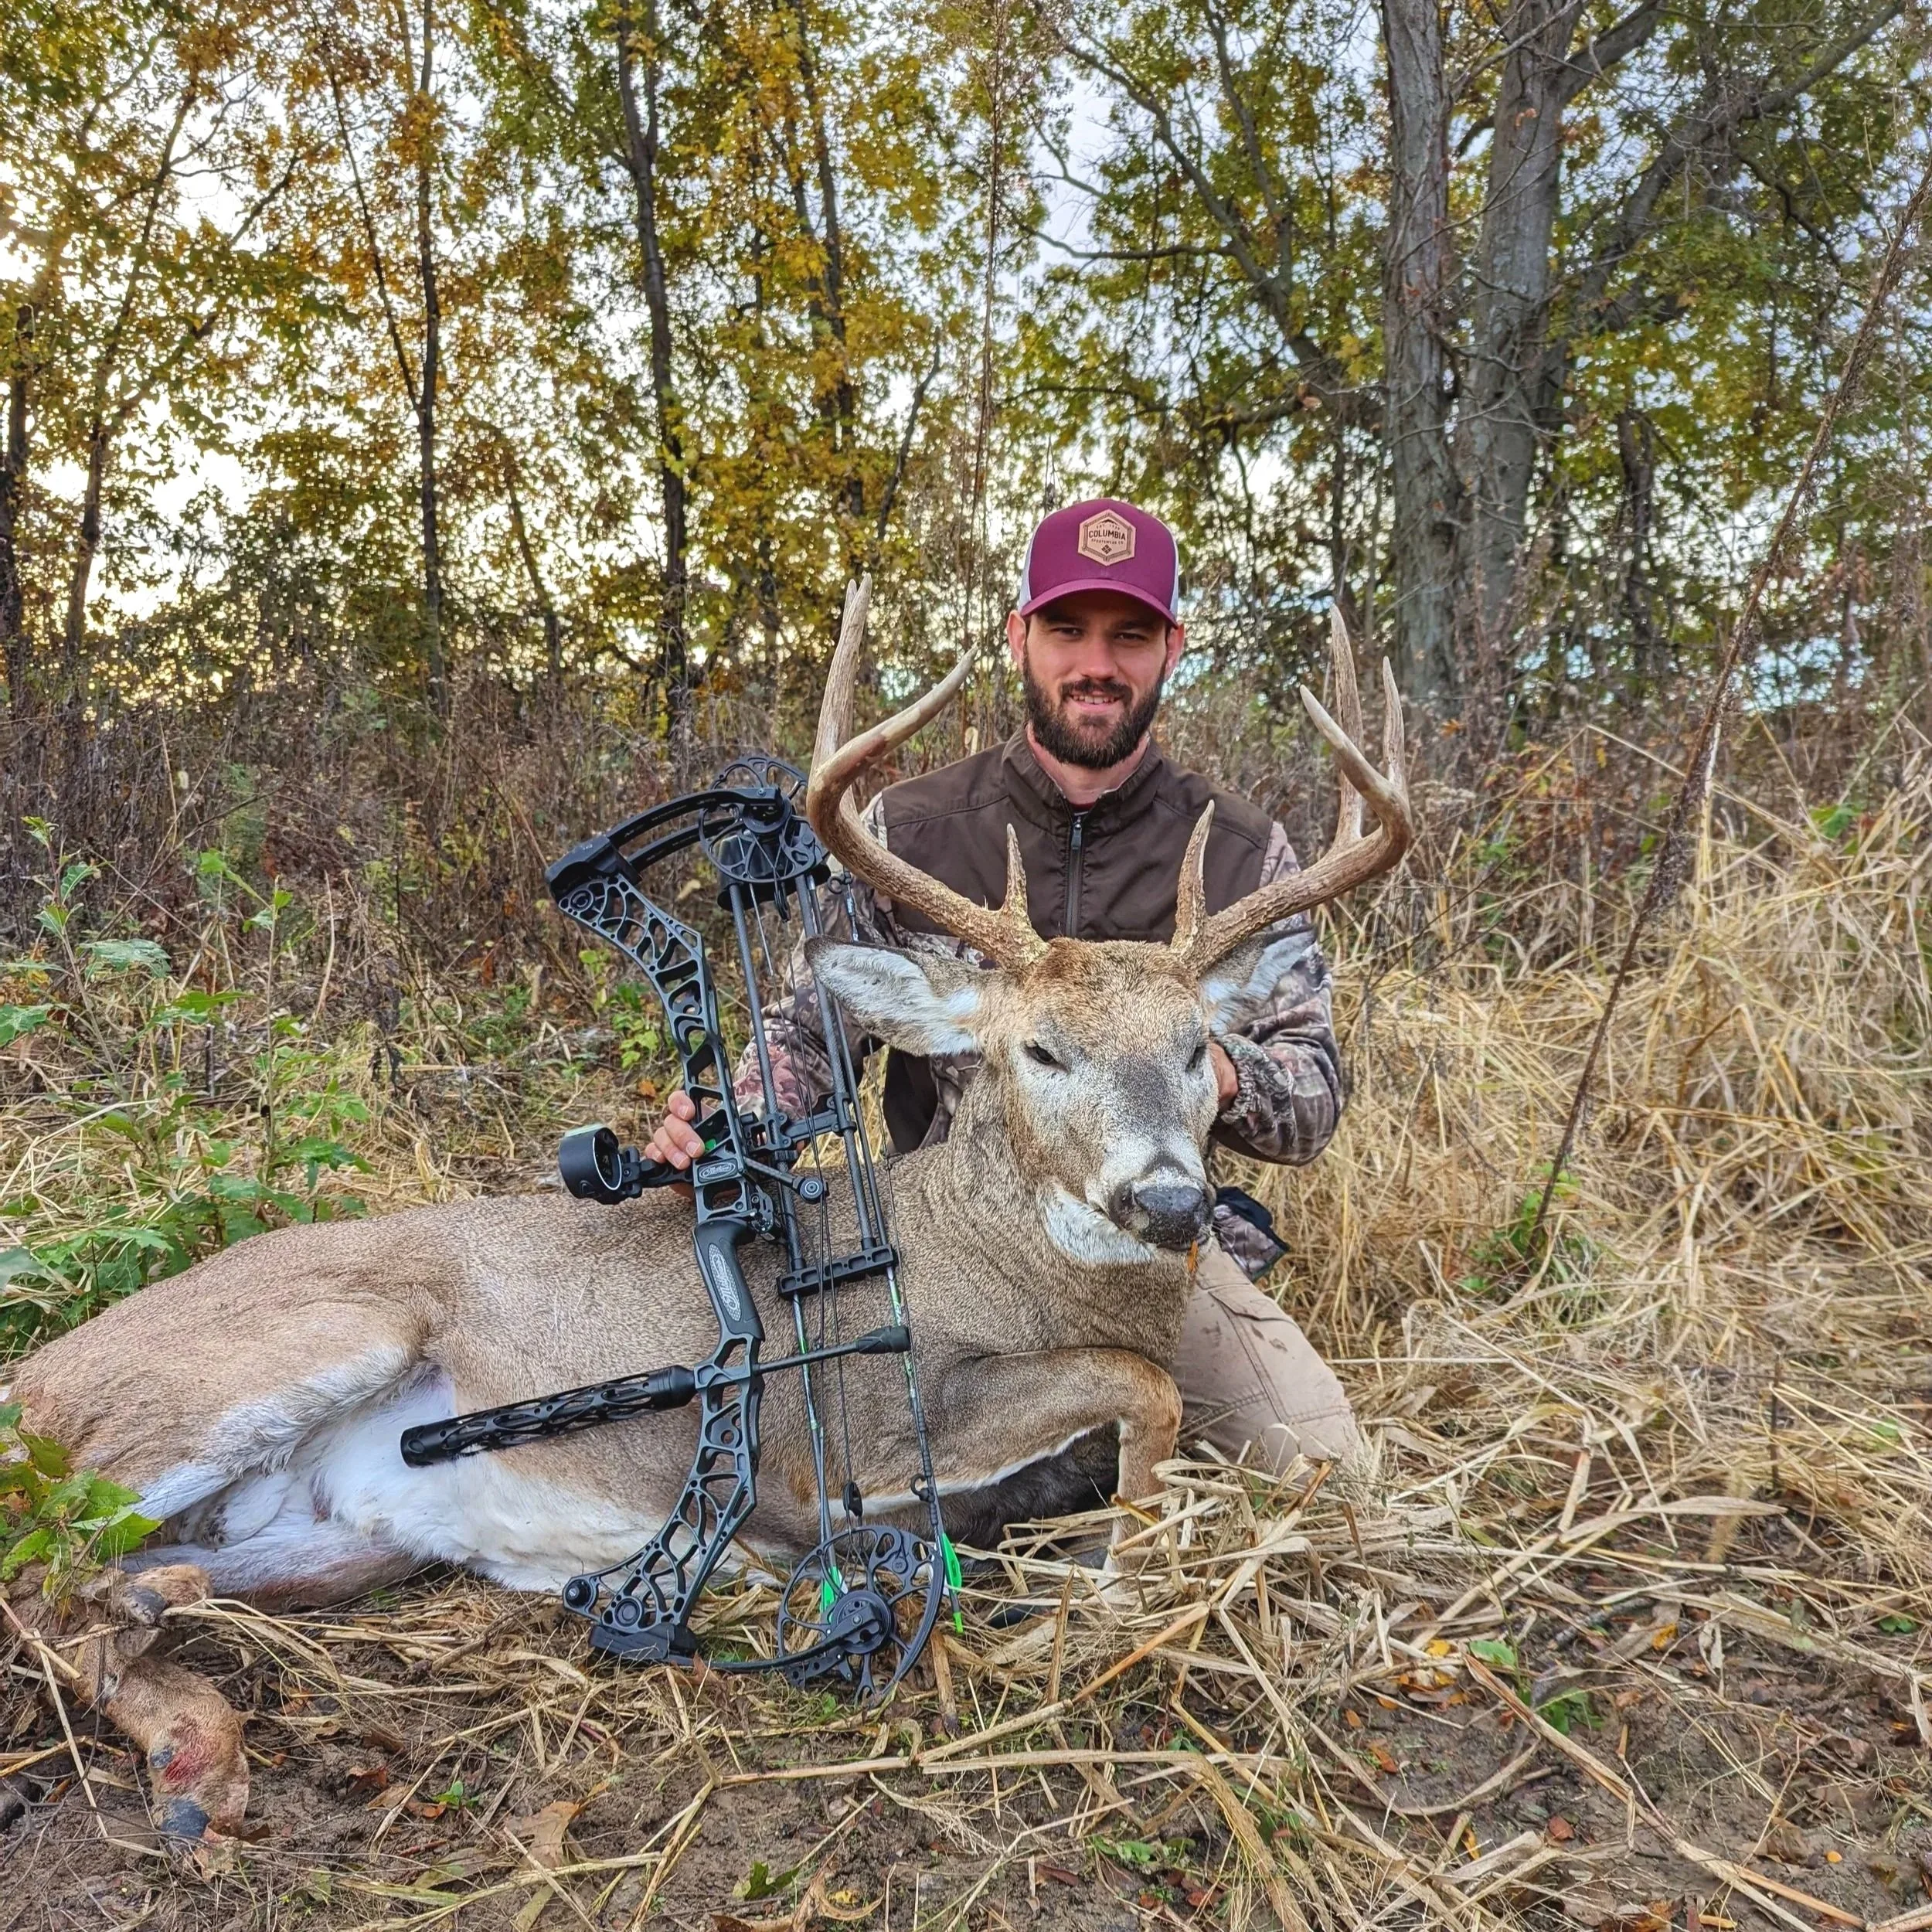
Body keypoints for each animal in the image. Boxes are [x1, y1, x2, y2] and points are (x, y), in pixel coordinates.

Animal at [3, 603, 1413, 1842]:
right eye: (1042, 1049)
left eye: (1199, 1051)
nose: (1167, 1196)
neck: (995, 1253)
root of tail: (40, 1377)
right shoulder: (841, 1442)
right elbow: (1140, 1386)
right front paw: (1119, 1575)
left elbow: (1144, 1400)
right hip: (262, 1359)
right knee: (42, 1571)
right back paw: (195, 1754)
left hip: (338, 1543)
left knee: (115, 1584)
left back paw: (191, 1713)